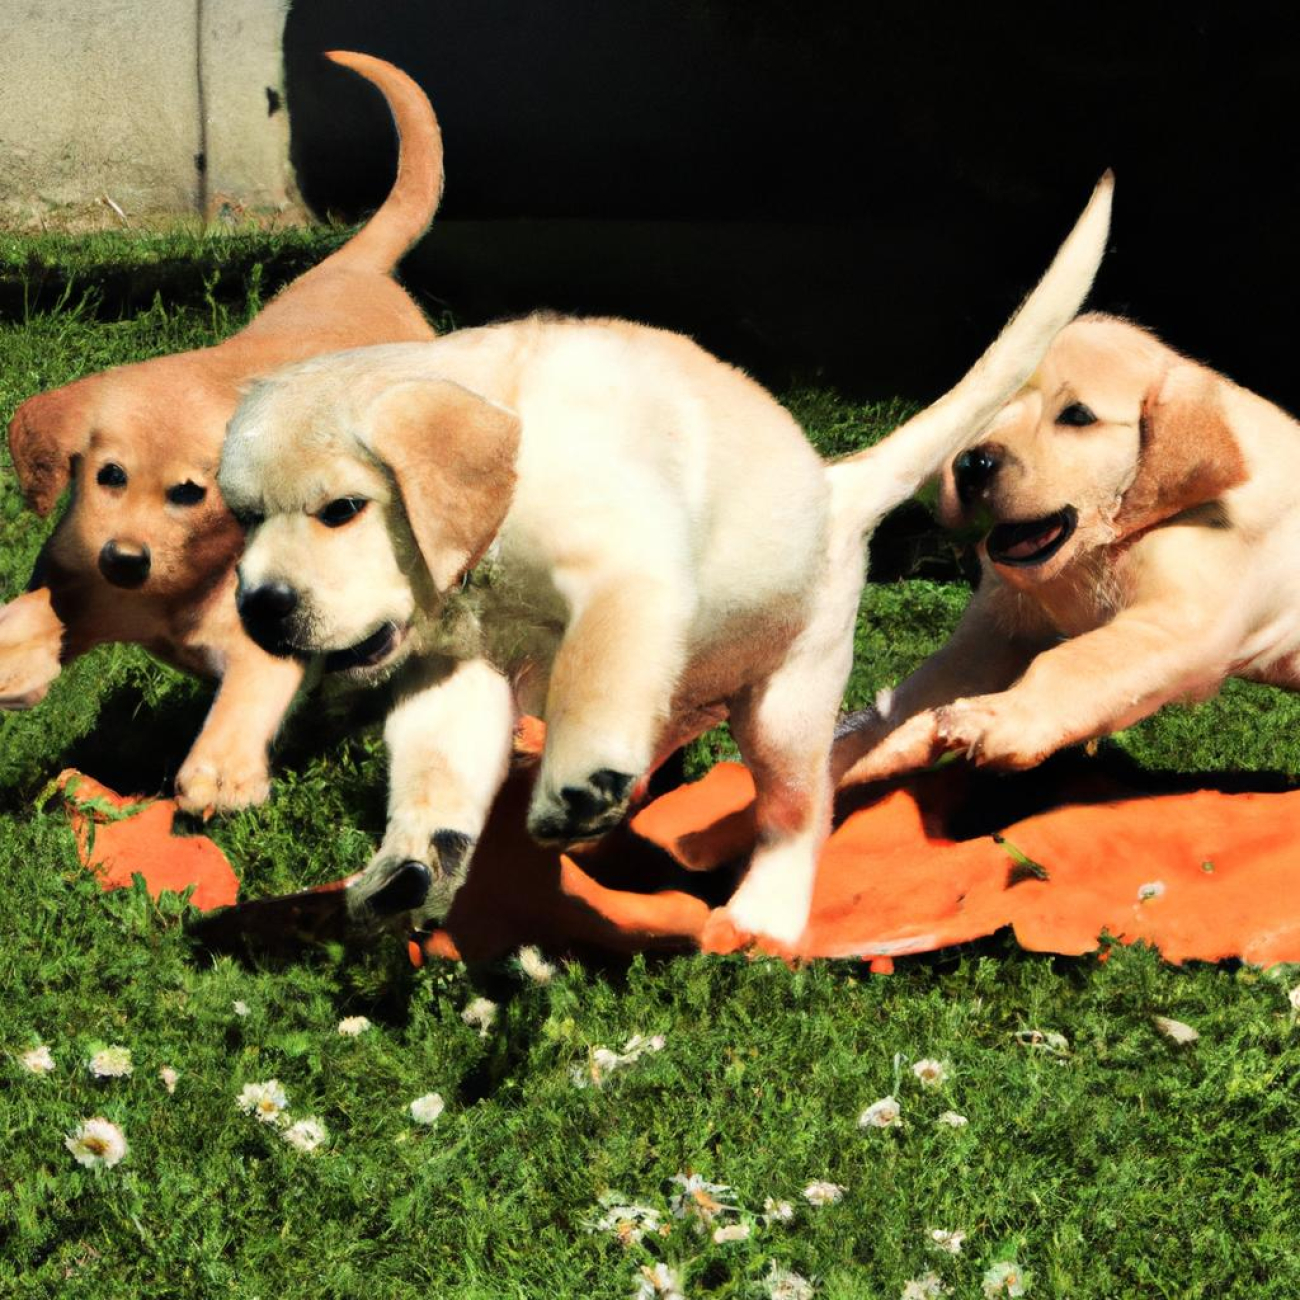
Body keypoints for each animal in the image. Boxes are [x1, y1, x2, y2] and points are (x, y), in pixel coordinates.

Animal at [0, 55, 441, 816]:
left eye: (188, 493)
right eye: (107, 476)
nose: (124, 560)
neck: (166, 595)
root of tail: (353, 268)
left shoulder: (266, 630)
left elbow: (254, 683)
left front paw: (223, 767)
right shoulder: (76, 585)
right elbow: (35, 618)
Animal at [218, 175, 1112, 946]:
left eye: (341, 509)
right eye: (244, 517)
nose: (259, 606)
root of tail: (832, 489)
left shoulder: (625, 574)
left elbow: (595, 671)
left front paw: (577, 780)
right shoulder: (461, 668)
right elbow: (437, 765)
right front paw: (409, 864)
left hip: (787, 700)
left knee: (800, 806)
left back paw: (764, 915)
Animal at [832, 306, 1289, 780]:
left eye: (1077, 416)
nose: (971, 465)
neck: (1095, 552)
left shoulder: (1182, 617)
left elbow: (1075, 663)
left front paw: (995, 719)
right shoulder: (995, 629)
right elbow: (916, 691)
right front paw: (850, 753)